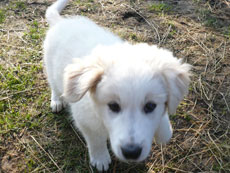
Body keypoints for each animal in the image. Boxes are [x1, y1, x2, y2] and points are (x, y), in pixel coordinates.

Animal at [43, 0, 190, 170]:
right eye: (113, 106)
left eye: (150, 106)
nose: (131, 153)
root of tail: (61, 22)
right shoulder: (86, 122)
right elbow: (96, 141)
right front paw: (100, 158)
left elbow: (165, 127)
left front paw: (164, 131)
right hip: (51, 68)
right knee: (54, 86)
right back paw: (57, 101)